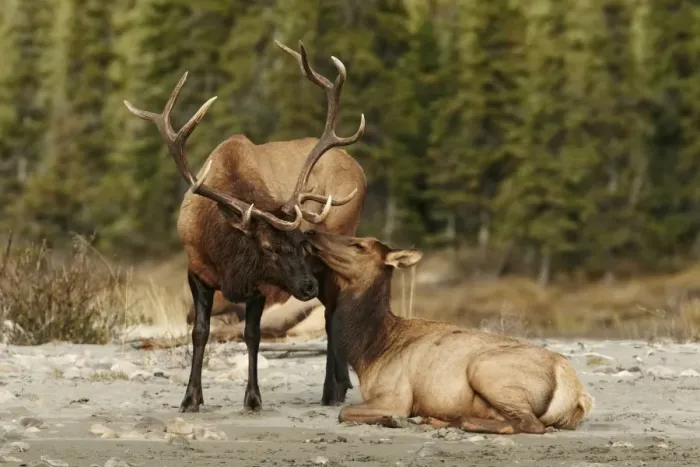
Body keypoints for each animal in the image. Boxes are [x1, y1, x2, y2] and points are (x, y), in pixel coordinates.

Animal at [123, 41, 366, 413]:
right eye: (266, 246)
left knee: (331, 315)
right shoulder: (196, 271)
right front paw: (191, 398)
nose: (307, 285)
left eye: (303, 242)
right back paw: (340, 385)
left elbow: (252, 335)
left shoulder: (259, 285)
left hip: (340, 243)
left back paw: (332, 390)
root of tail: (360, 170)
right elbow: (200, 332)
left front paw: (253, 398)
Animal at [305, 230, 594, 434]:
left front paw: (395, 420)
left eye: (359, 245)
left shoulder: (395, 396)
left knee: (530, 424)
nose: (312, 233)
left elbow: (344, 412)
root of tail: (577, 395)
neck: (370, 352)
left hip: (486, 369)